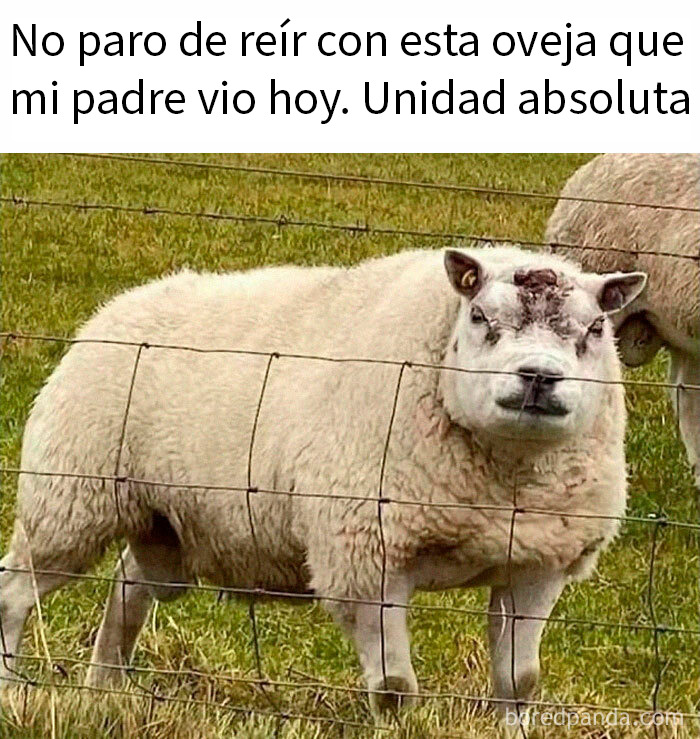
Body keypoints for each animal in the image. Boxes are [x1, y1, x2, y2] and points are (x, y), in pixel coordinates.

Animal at [0, 246, 646, 719]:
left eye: (594, 329)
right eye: (482, 318)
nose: (539, 377)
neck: (504, 481)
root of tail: (120, 305)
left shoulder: (538, 563)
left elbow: (520, 682)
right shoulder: (365, 559)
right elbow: (393, 688)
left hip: (165, 526)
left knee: (128, 586)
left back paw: (104, 686)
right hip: (69, 498)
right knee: (15, 589)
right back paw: (13, 683)